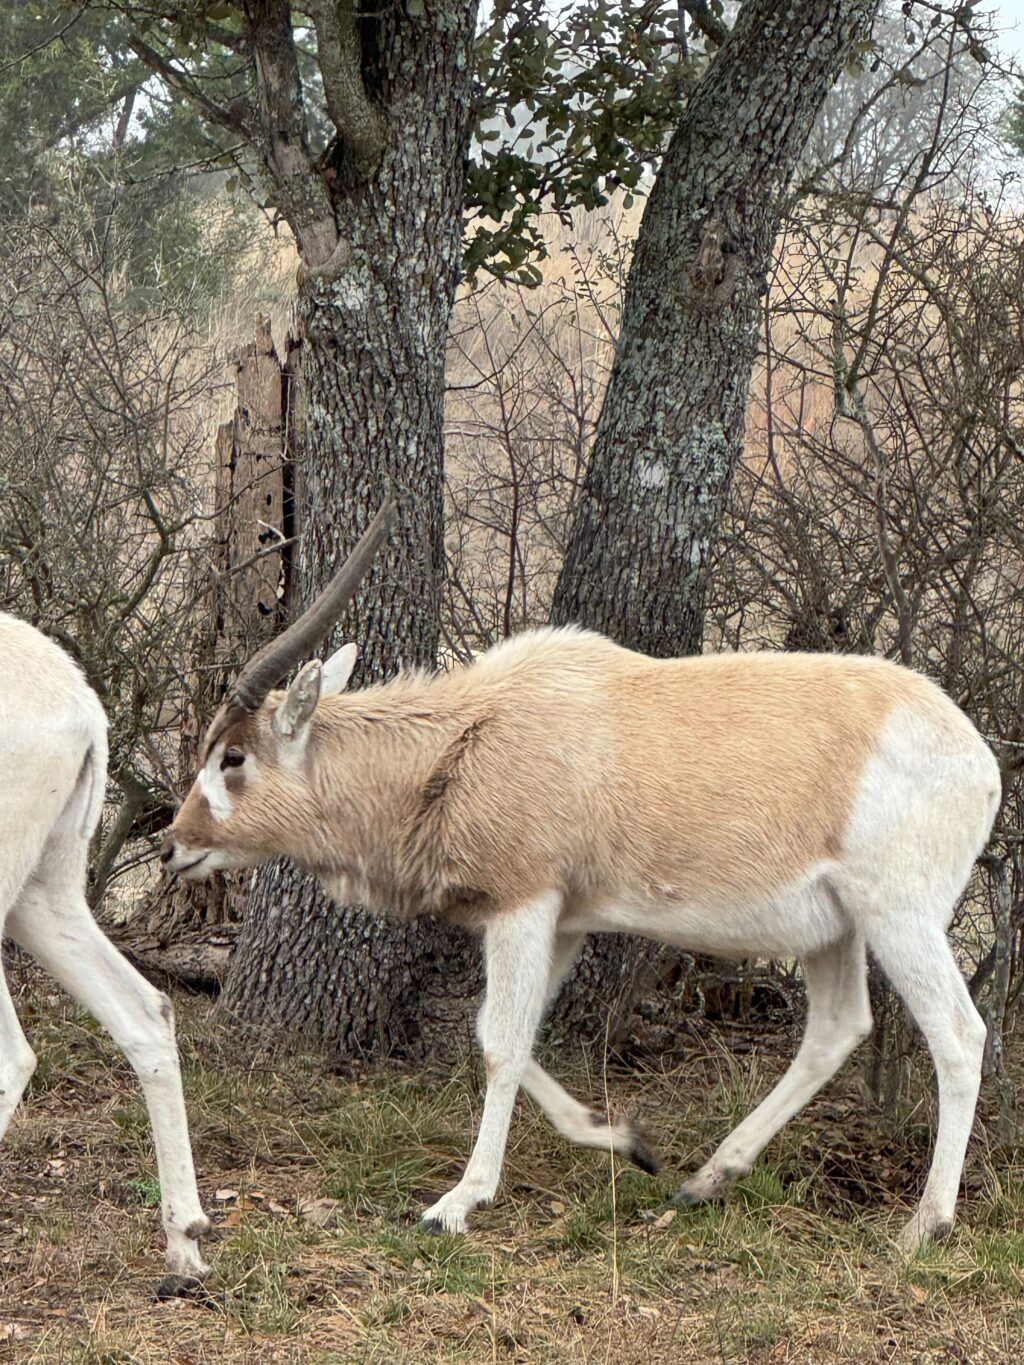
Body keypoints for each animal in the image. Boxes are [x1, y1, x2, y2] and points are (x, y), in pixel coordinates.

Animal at [162, 505, 1004, 1250]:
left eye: (232, 757)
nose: (174, 845)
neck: (468, 736)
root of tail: (979, 759)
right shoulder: (563, 919)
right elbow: (509, 1031)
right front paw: (624, 1138)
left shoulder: (523, 903)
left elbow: (499, 1040)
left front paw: (458, 1201)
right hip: (832, 927)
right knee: (836, 1027)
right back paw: (707, 1177)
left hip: (898, 916)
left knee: (959, 1035)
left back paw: (924, 1224)